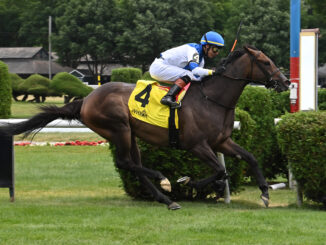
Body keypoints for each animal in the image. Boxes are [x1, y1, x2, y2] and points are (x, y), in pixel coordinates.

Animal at [0, 46, 290, 211]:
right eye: (265, 62)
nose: (285, 82)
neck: (212, 98)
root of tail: (86, 99)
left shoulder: (221, 142)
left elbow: (249, 158)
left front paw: (265, 192)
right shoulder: (196, 145)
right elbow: (219, 170)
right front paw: (190, 181)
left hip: (132, 135)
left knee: (134, 166)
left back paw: (167, 200)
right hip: (118, 128)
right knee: (126, 163)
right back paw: (164, 180)